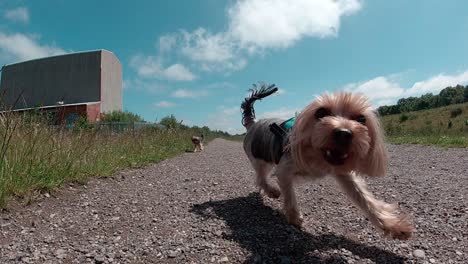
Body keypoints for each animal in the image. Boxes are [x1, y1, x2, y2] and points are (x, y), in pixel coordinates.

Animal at [241, 83, 414, 240]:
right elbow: (289, 194)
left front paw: (393, 225)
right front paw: (294, 217)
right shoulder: (286, 168)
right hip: (258, 157)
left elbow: (364, 198)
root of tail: (253, 123)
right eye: (321, 112)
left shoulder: (344, 173)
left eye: (361, 118)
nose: (344, 133)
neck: (318, 158)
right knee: (261, 177)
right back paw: (272, 191)